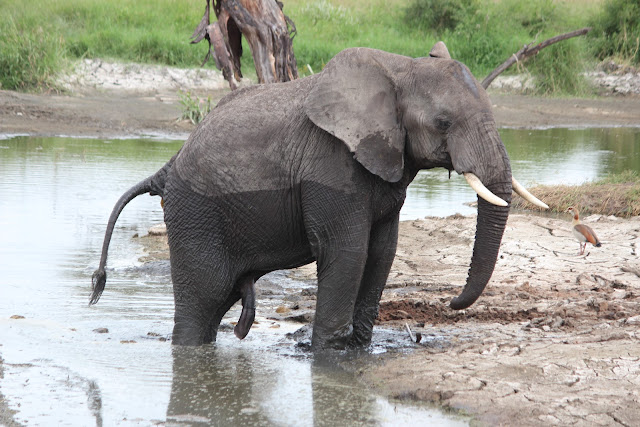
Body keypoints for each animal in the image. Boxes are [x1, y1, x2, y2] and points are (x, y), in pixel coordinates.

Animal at [91, 42, 547, 350]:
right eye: (443, 123)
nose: (451, 302)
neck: (398, 69)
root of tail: (167, 167)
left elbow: (382, 251)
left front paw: (358, 349)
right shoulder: (329, 166)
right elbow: (346, 251)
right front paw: (331, 357)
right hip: (195, 214)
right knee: (202, 301)